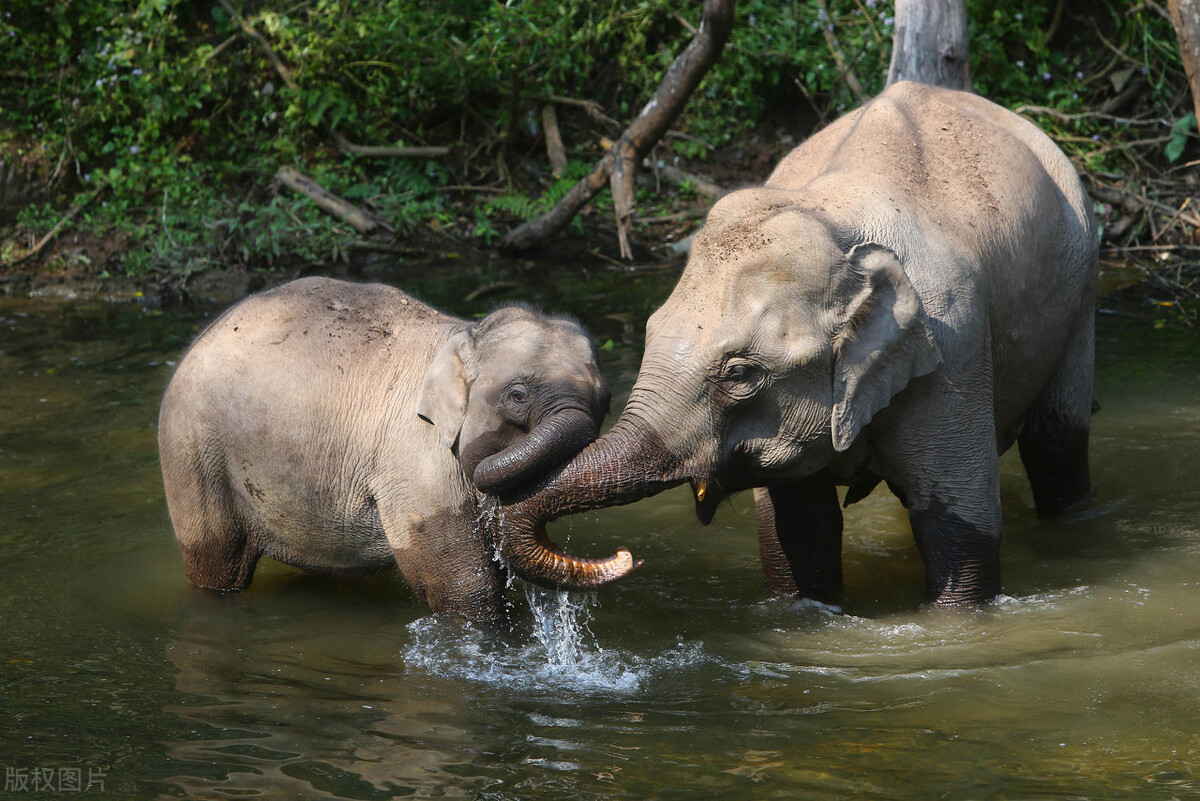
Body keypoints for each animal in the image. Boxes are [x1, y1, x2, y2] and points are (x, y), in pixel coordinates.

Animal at [501, 82, 1099, 606]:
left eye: (739, 373)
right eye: (648, 331)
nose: (624, 556)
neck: (833, 220)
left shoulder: (955, 344)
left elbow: (961, 529)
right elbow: (798, 533)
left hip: (1082, 279)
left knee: (1056, 443)